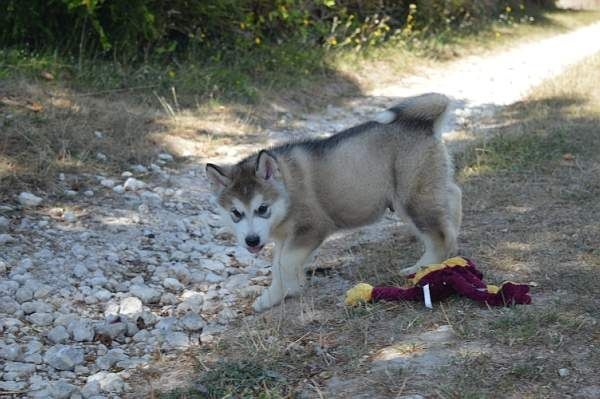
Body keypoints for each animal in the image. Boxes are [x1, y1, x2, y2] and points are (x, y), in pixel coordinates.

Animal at [206, 94, 464, 312]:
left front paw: (291, 287)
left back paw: (424, 266)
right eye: (236, 213)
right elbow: (277, 264)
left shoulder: (312, 228)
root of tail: (422, 124)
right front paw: (272, 297)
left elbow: (284, 263)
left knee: (437, 236)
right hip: (428, 186)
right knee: (454, 194)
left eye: (262, 209)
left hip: (411, 198)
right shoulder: (284, 238)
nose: (251, 241)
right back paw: (454, 231)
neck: (288, 189)